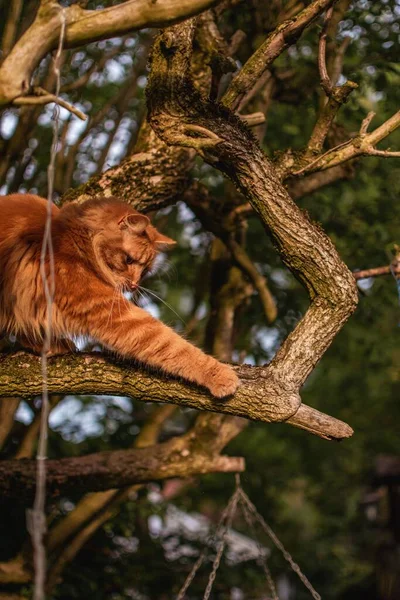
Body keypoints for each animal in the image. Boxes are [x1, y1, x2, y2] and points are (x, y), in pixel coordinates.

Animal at [0, 195, 238, 396]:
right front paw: (220, 375)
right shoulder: (109, 309)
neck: (79, 239)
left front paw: (48, 346)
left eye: (145, 271)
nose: (134, 285)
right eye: (129, 260)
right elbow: (173, 345)